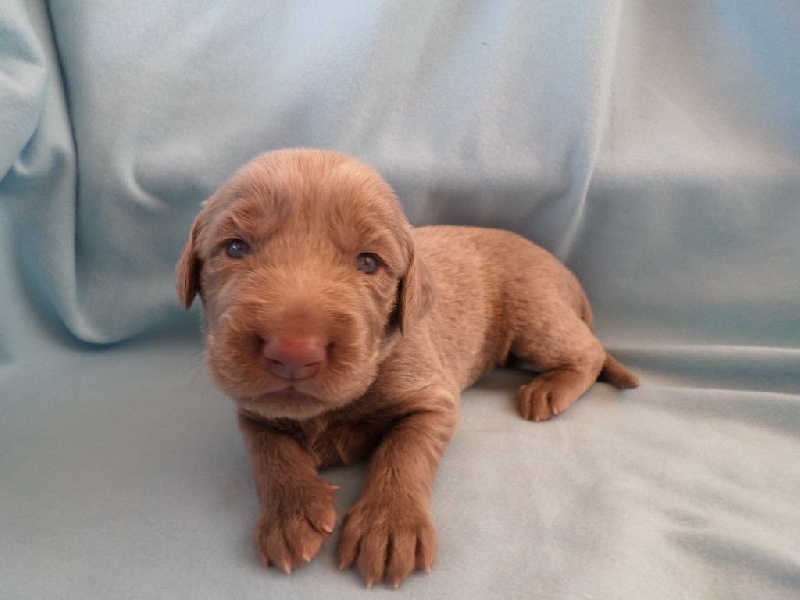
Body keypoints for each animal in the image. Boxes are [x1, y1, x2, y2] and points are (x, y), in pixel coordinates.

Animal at [176, 148, 638, 588]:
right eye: (235, 247)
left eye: (369, 262)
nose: (293, 352)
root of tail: (563, 270)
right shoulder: (252, 410)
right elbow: (267, 450)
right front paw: (290, 515)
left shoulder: (432, 398)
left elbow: (405, 450)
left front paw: (388, 526)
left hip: (534, 309)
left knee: (589, 351)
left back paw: (550, 389)